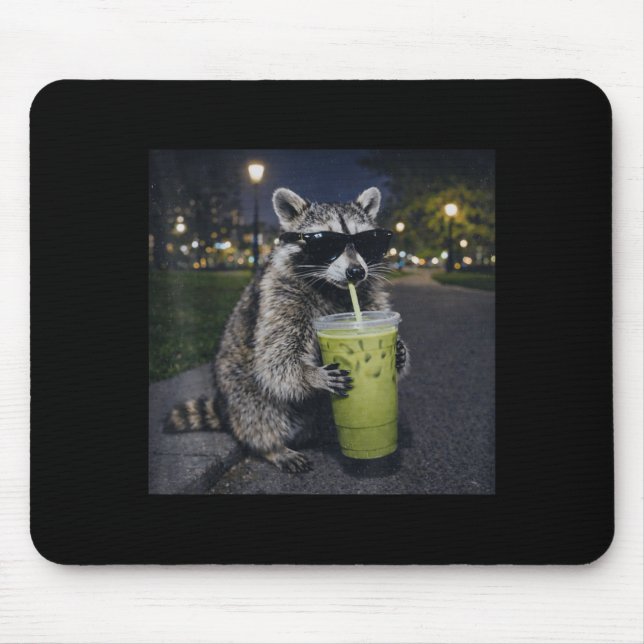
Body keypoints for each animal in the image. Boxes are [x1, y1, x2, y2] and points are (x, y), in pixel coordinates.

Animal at [164, 186, 409, 472]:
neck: (331, 288)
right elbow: (275, 360)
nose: (356, 272)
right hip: (239, 389)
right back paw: (271, 447)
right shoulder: (280, 295)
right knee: (259, 410)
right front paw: (309, 375)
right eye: (325, 243)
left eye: (366, 242)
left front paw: (399, 353)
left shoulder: (368, 294)